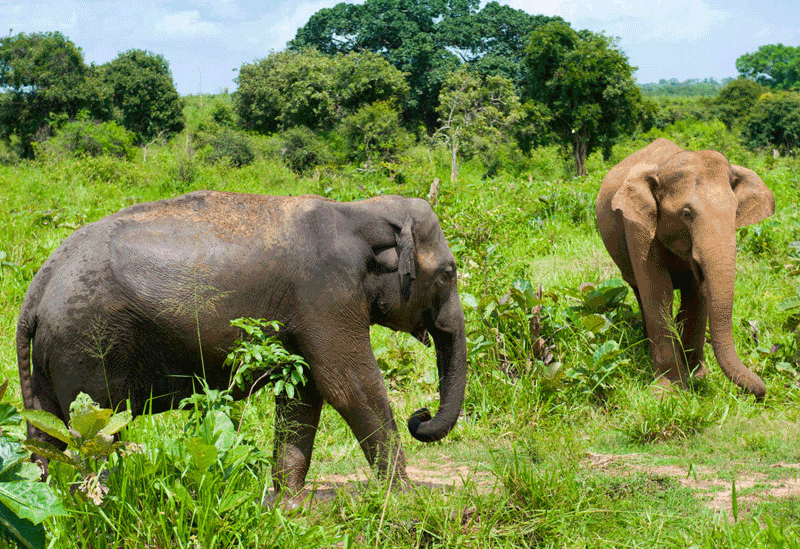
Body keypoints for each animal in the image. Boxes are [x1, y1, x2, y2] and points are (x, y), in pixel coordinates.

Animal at [17, 191, 468, 504]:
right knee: (97, 430)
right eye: (448, 274)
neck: (358, 211)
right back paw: (100, 501)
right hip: (88, 344)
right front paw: (407, 497)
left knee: (45, 433)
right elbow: (349, 386)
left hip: (52, 358)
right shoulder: (326, 294)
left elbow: (304, 393)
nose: (420, 416)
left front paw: (291, 505)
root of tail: (37, 287)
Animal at [592, 135, 776, 396]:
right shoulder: (636, 225)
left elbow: (697, 294)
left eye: (735, 211)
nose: (761, 392)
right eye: (686, 213)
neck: (665, 164)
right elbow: (658, 291)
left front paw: (697, 377)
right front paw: (670, 390)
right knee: (639, 290)